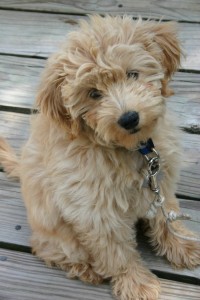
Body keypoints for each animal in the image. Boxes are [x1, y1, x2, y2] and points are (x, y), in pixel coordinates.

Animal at [0, 15, 200, 300]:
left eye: (132, 74)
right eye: (94, 93)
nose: (129, 118)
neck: (129, 150)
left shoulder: (160, 180)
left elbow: (165, 215)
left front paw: (182, 245)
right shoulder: (95, 211)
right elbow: (116, 251)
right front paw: (136, 283)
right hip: (56, 233)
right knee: (46, 248)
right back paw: (87, 269)